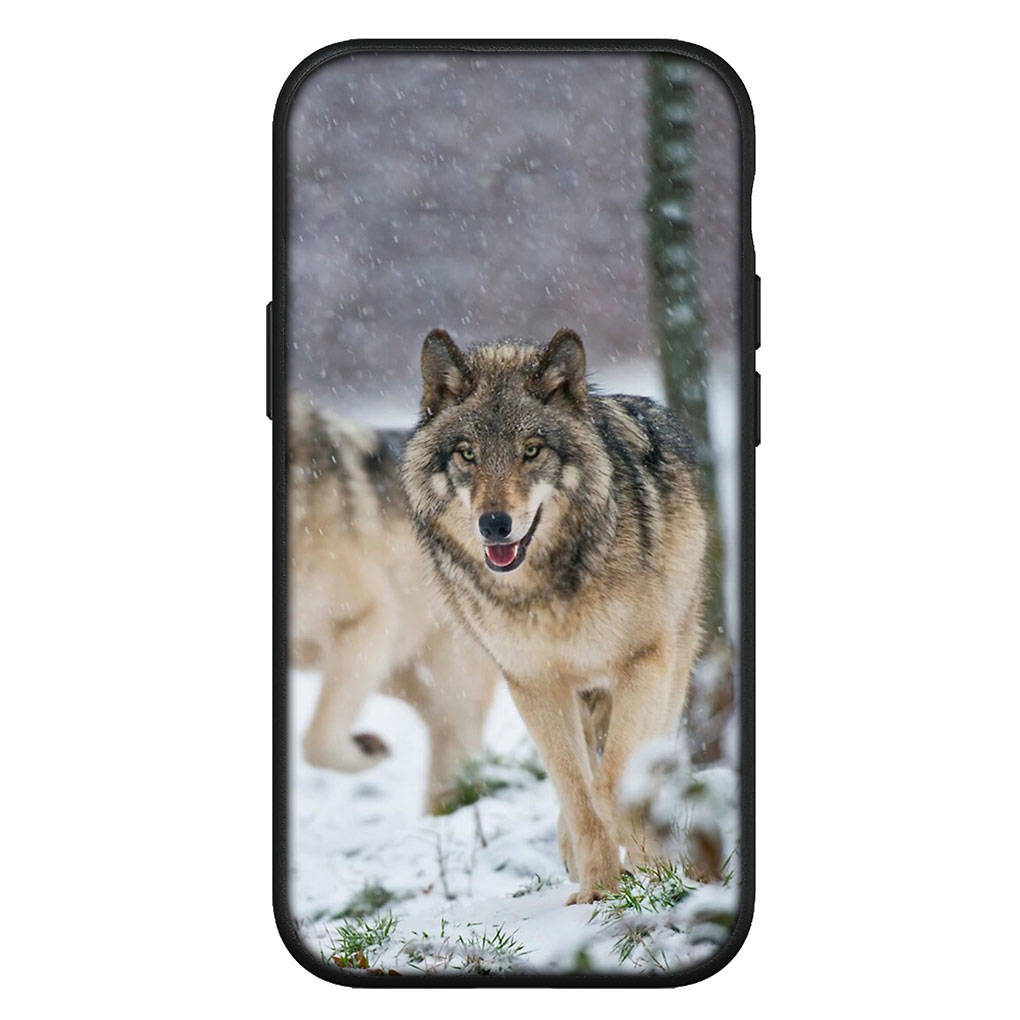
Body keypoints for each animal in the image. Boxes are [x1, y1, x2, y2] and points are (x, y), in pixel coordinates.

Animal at [401, 329, 707, 902]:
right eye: (468, 454)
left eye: (531, 451)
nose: (494, 524)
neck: (546, 592)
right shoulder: (533, 683)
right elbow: (577, 790)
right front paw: (598, 890)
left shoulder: (642, 663)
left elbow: (611, 782)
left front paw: (649, 867)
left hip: (674, 661)